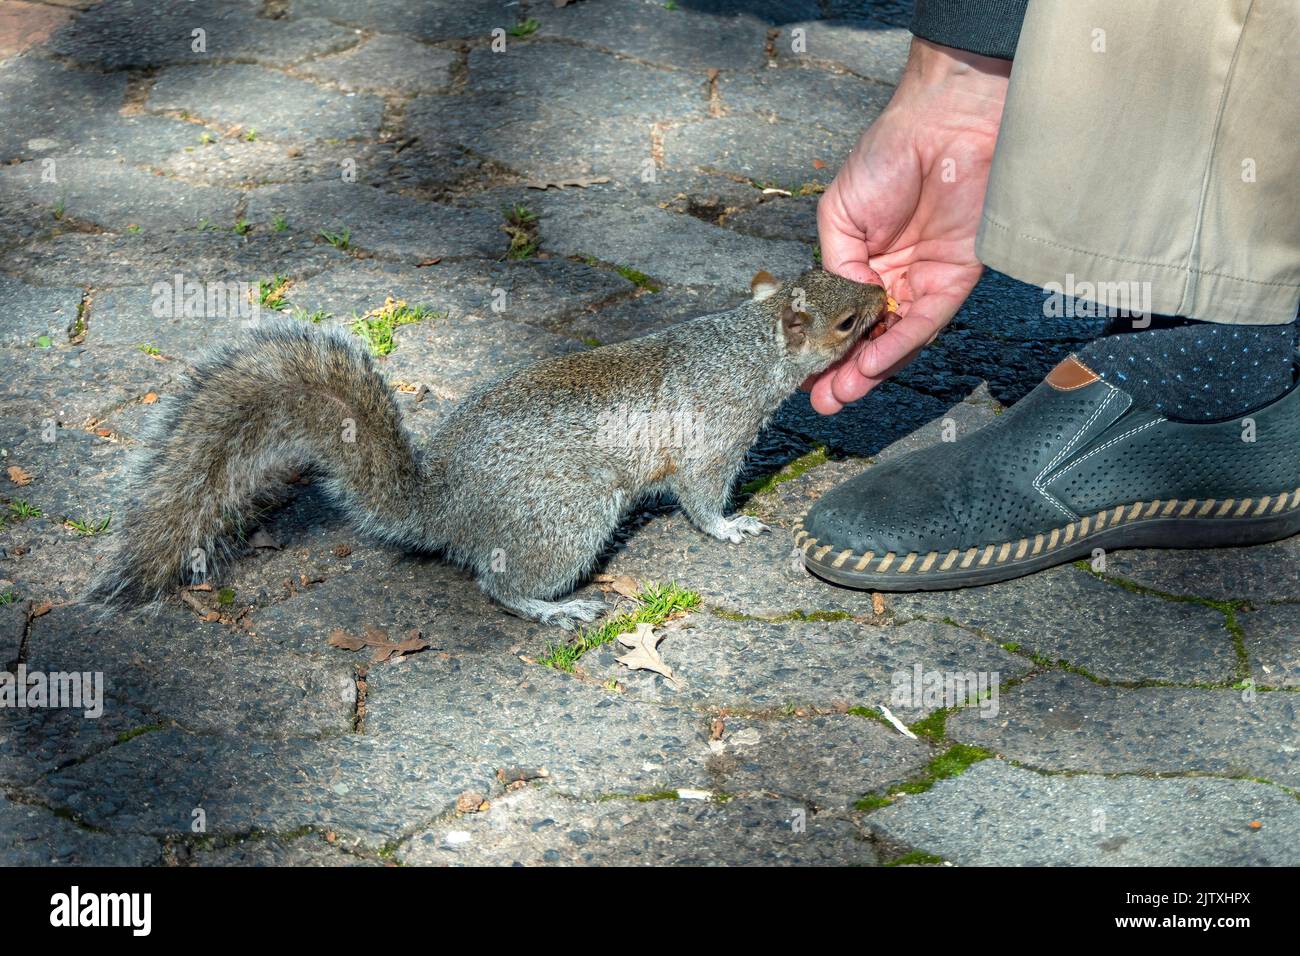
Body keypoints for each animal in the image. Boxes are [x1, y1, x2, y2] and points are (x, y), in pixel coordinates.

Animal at [87, 268, 889, 627]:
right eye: (848, 320)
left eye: (841, 278)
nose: (886, 297)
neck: (747, 348)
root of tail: (446, 507)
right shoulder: (713, 441)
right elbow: (701, 498)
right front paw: (730, 526)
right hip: (569, 517)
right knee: (498, 585)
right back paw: (553, 609)